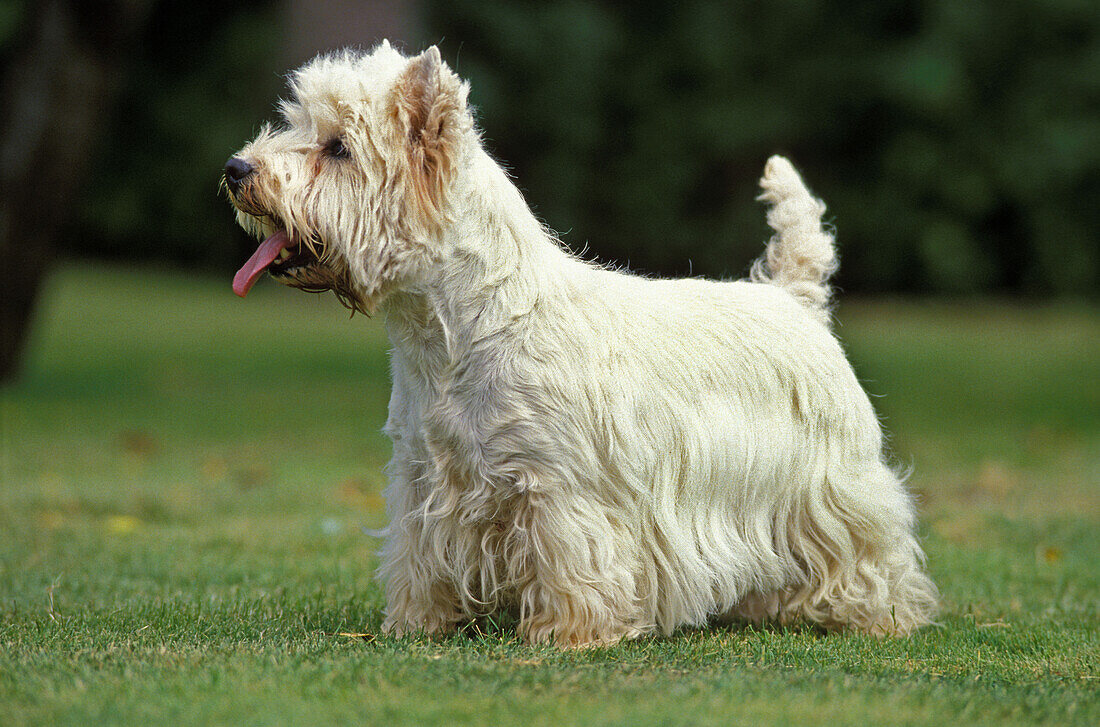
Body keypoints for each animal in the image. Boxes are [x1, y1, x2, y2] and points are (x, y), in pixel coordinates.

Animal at [223, 42, 937, 642]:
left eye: (338, 147)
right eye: (297, 125)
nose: (236, 168)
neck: (449, 338)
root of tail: (795, 299)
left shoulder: (557, 487)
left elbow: (570, 561)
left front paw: (567, 635)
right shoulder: (421, 478)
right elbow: (418, 557)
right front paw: (415, 624)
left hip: (835, 481)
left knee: (873, 547)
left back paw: (881, 616)